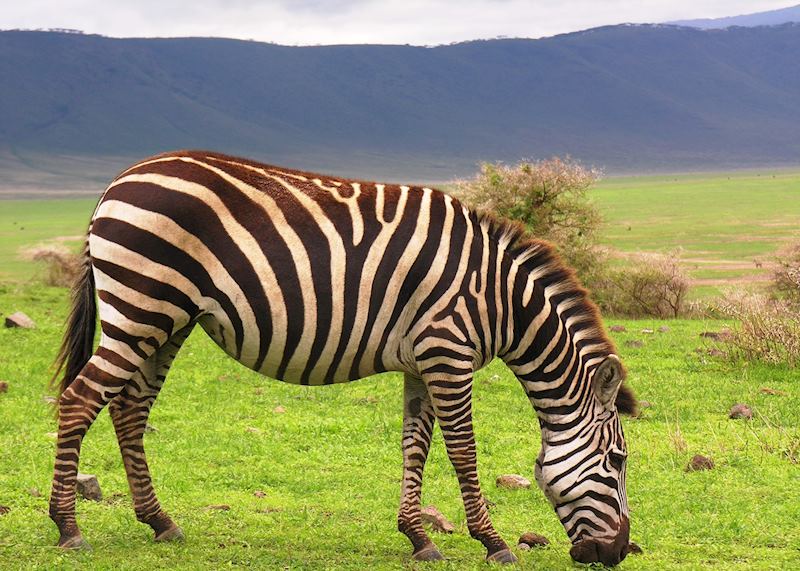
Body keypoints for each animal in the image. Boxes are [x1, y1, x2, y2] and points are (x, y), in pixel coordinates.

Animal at [49, 150, 637, 566]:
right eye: (618, 461)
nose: (614, 555)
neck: (501, 300)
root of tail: (118, 182)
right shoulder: (448, 352)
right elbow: (463, 451)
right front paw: (493, 542)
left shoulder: (422, 362)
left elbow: (415, 446)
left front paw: (418, 537)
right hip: (141, 306)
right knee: (79, 400)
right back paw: (68, 527)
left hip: (167, 321)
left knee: (128, 408)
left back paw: (160, 521)